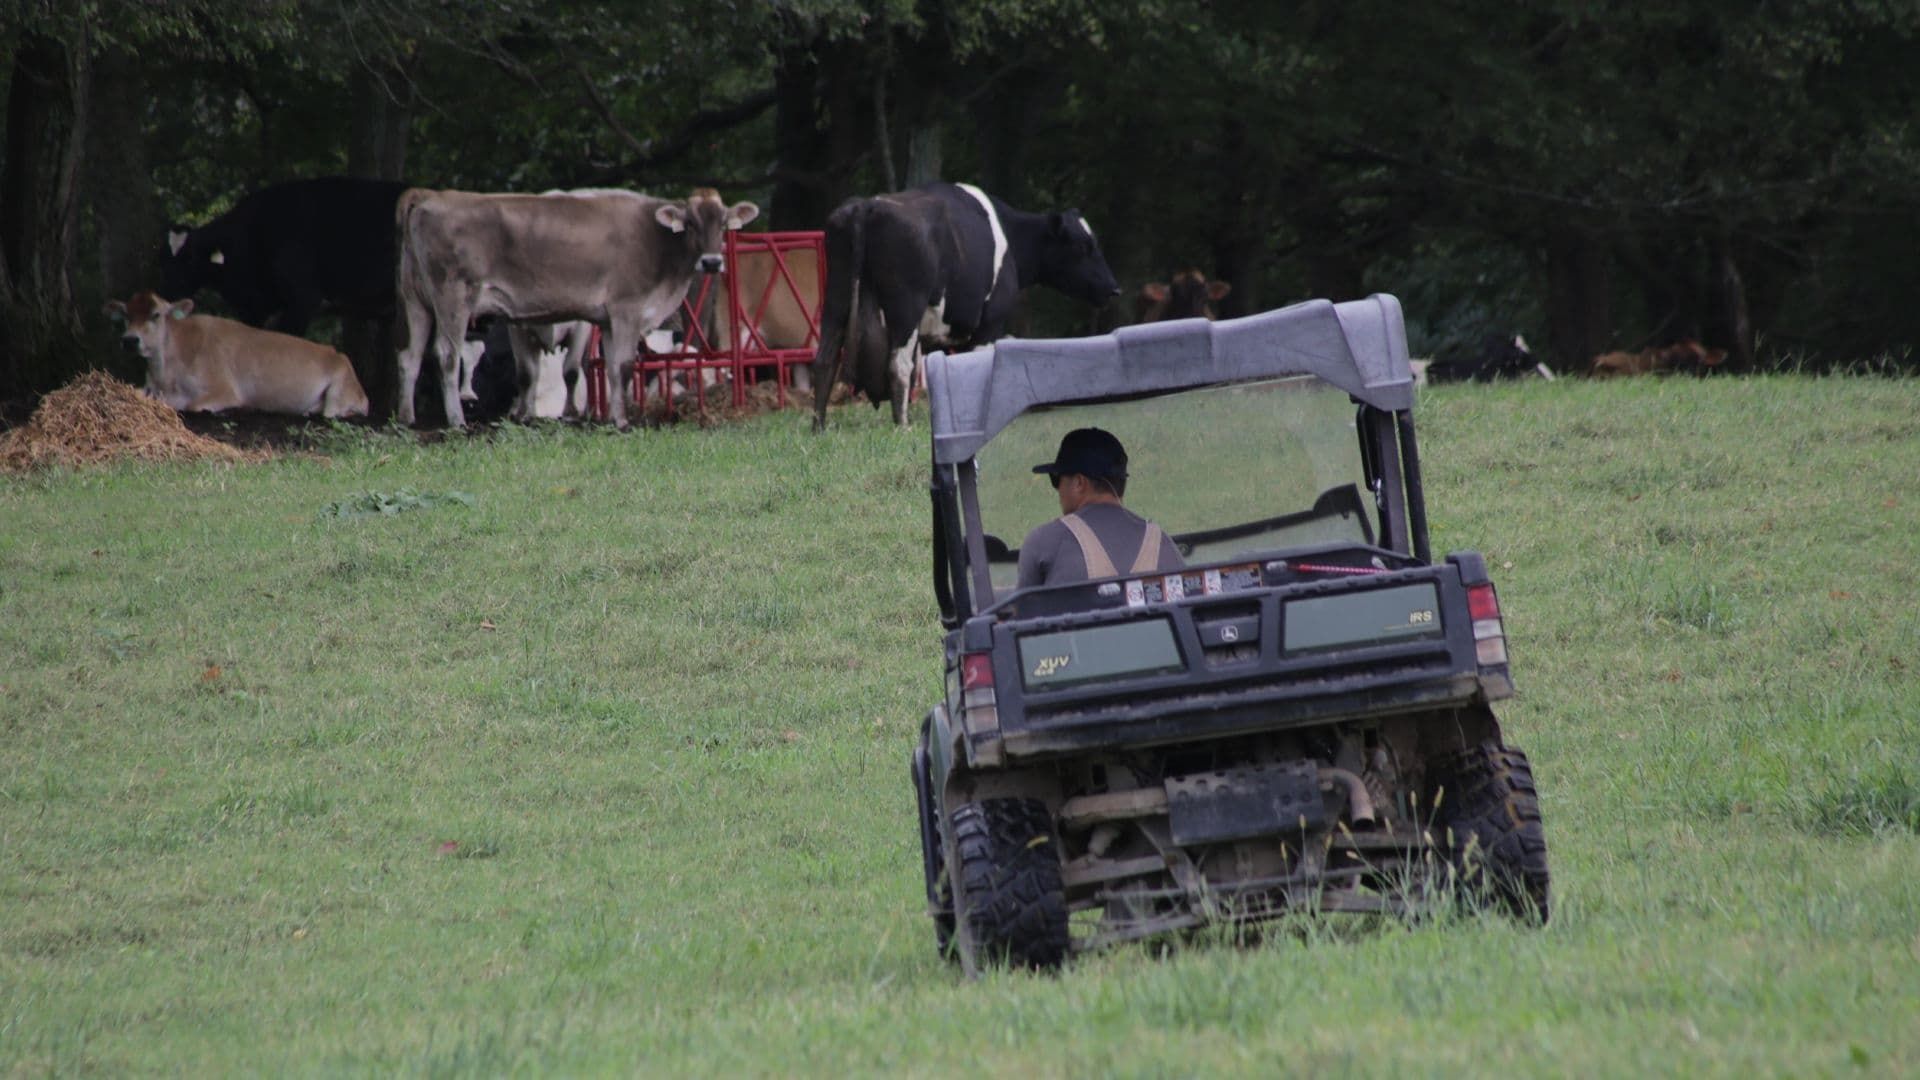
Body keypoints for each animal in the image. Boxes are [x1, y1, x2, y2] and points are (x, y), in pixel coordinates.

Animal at [106, 290, 370, 417]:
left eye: (156, 314)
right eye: (127, 315)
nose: (130, 340)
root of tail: (339, 355)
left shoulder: (224, 389)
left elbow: (194, 405)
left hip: (339, 393)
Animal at [806, 178, 1113, 426]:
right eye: (1083, 246)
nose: (1114, 288)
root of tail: (866, 204)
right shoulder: (989, 323)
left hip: (836, 298)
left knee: (824, 360)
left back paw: (819, 426)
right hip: (906, 308)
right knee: (899, 364)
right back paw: (902, 424)